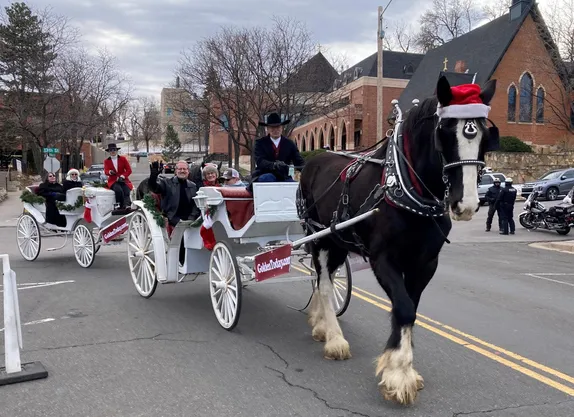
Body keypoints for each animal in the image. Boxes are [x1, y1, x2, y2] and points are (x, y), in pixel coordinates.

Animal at [296, 76, 500, 404]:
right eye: (444, 133)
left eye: (484, 136)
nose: (467, 204)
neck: (408, 190)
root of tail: (317, 158)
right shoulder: (383, 259)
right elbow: (403, 307)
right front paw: (398, 375)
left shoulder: (425, 263)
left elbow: (411, 308)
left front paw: (403, 367)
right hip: (319, 237)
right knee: (324, 283)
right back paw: (335, 339)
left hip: (338, 241)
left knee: (321, 278)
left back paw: (320, 323)